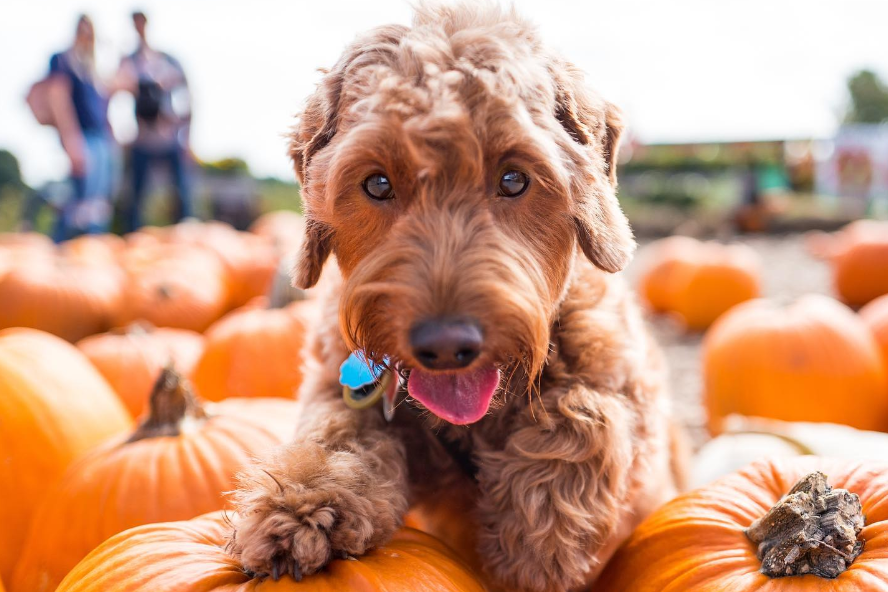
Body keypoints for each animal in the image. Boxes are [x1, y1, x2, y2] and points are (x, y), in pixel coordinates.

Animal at [227, 4, 680, 592]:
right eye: (377, 183)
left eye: (514, 178)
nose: (445, 346)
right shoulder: (340, 384)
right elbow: (336, 431)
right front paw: (299, 508)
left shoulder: (626, 390)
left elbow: (587, 411)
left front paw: (540, 539)